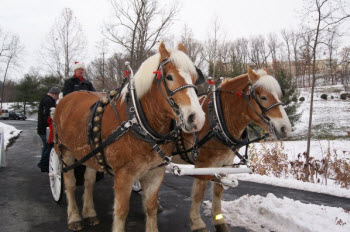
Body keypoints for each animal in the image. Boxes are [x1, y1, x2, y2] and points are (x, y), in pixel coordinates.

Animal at [52, 42, 205, 232]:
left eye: (194, 77)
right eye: (169, 77)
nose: (196, 118)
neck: (138, 122)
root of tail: (66, 99)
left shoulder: (156, 172)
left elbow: (151, 207)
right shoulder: (123, 174)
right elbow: (121, 211)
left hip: (90, 153)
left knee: (88, 181)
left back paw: (89, 213)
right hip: (63, 150)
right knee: (70, 183)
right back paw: (74, 217)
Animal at [175, 66, 292, 231]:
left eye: (280, 95)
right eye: (263, 97)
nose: (285, 129)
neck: (216, 119)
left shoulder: (225, 164)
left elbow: (218, 191)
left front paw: (219, 220)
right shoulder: (203, 164)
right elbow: (199, 193)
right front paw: (197, 223)